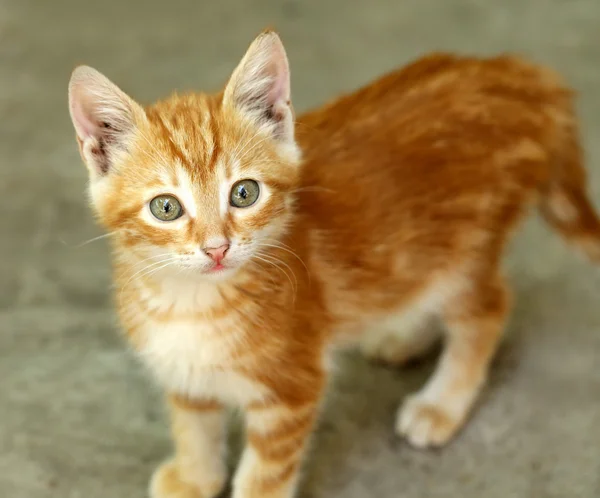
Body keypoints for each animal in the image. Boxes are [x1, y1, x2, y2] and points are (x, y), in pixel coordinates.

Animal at [67, 30, 600, 498]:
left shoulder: (291, 392)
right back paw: (404, 334)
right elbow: (194, 425)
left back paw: (441, 403)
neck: (189, 301)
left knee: (489, 309)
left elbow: (265, 474)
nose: (217, 247)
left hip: (467, 250)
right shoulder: (184, 372)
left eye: (244, 193)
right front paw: (195, 477)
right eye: (166, 207)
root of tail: (510, 71)